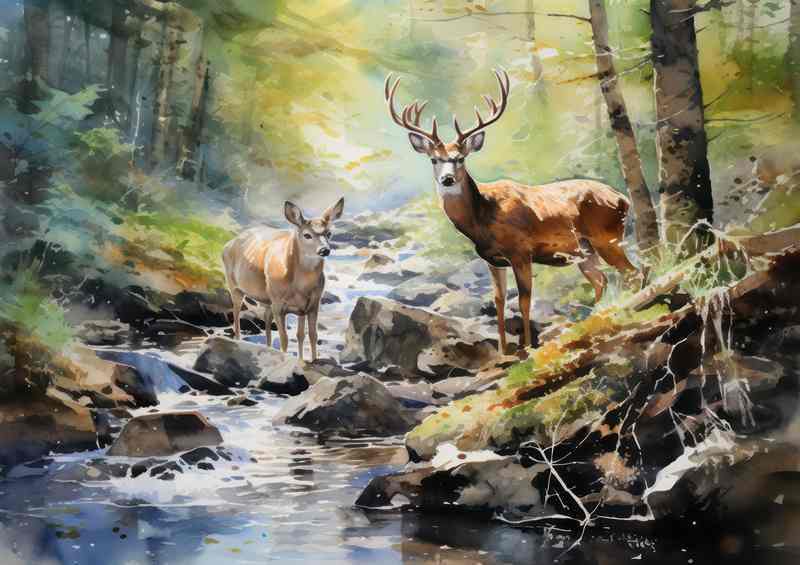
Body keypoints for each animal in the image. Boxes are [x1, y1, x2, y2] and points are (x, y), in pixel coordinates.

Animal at [222, 198, 345, 361]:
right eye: (307, 235)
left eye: (329, 233)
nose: (324, 250)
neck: (301, 287)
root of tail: (227, 244)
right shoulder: (279, 304)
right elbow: (284, 338)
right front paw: (287, 360)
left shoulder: (311, 305)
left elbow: (309, 335)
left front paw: (310, 360)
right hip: (235, 286)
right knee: (236, 314)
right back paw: (238, 341)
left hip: (267, 298)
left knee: (266, 319)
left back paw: (267, 348)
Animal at [384, 69, 639, 353]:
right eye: (434, 159)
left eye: (460, 158)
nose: (447, 179)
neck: (482, 219)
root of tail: (623, 198)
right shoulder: (493, 260)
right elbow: (499, 301)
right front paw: (502, 351)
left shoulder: (521, 251)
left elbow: (524, 301)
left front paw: (526, 348)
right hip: (584, 250)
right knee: (601, 279)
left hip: (607, 237)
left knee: (631, 273)